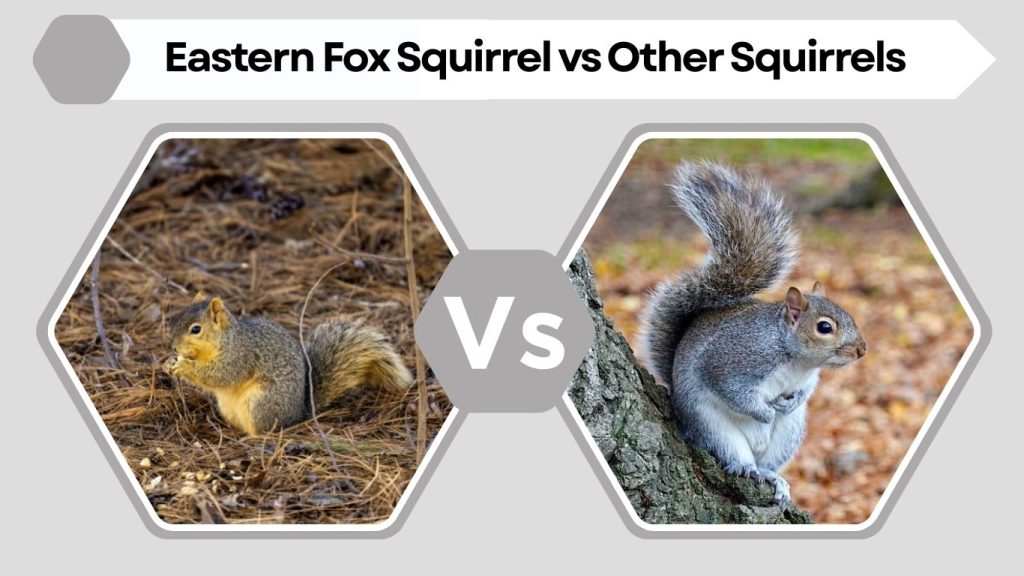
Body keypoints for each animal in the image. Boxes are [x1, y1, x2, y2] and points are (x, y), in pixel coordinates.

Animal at [163, 293, 412, 435]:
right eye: (175, 320)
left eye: (196, 329)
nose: (173, 347)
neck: (226, 338)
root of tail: (299, 413)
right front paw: (168, 363)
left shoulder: (239, 355)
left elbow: (221, 376)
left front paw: (184, 367)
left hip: (261, 402)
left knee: (264, 430)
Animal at [640, 161, 867, 507]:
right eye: (824, 327)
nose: (861, 349)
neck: (794, 359)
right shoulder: (737, 359)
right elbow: (733, 390)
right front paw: (764, 413)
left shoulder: (806, 377)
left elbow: (807, 390)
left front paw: (790, 402)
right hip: (713, 428)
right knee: (735, 456)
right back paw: (748, 467)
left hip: (790, 435)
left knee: (769, 462)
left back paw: (775, 478)